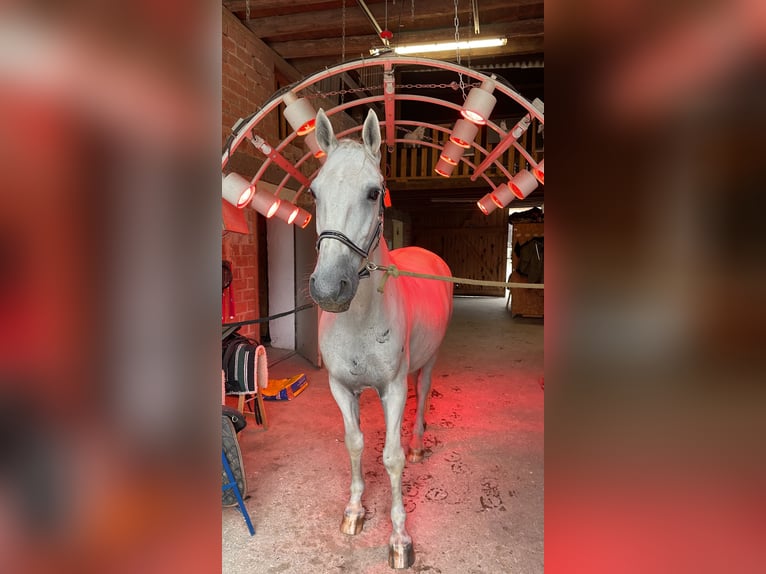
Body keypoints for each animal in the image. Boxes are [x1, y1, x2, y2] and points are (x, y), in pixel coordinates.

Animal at [310, 109, 456, 572]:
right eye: (314, 191)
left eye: (374, 192)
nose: (329, 289)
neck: (359, 318)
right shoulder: (341, 387)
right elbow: (355, 444)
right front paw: (354, 512)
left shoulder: (392, 388)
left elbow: (391, 459)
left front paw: (399, 539)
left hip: (427, 364)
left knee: (421, 398)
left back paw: (418, 446)